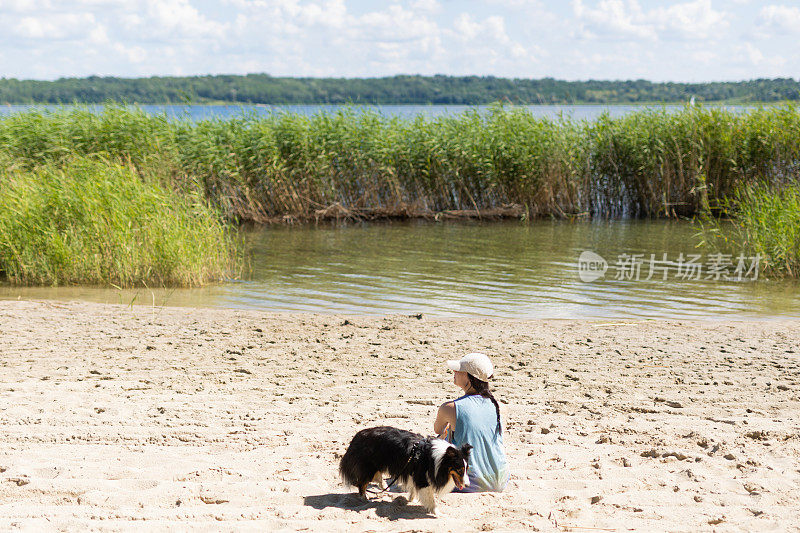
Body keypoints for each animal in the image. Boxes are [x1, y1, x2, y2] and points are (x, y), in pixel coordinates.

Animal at [340, 424, 476, 516]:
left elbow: (413, 488)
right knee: (362, 483)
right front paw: (437, 512)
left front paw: (412, 499)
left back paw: (383, 487)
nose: (468, 485)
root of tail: (358, 435)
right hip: (369, 467)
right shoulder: (422, 477)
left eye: (466, 468)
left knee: (375, 478)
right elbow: (430, 498)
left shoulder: (413, 472)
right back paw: (364, 497)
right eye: (459, 469)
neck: (438, 459)